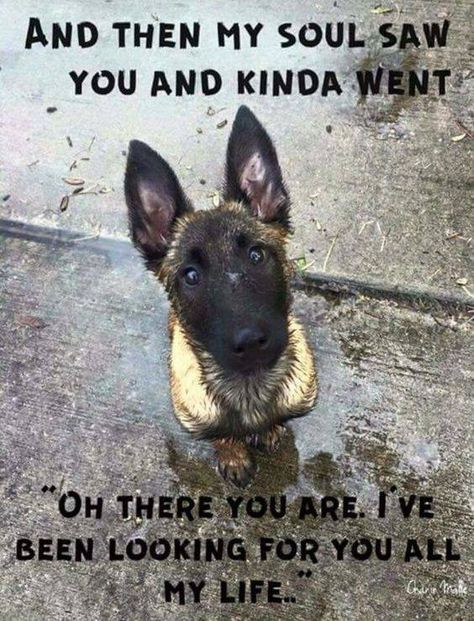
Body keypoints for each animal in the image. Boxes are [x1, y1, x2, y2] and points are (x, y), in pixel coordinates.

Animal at [124, 105, 317, 487]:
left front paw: (269, 432)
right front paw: (233, 453)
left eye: (256, 255)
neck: (250, 387)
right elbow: (222, 436)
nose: (251, 342)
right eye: (191, 276)